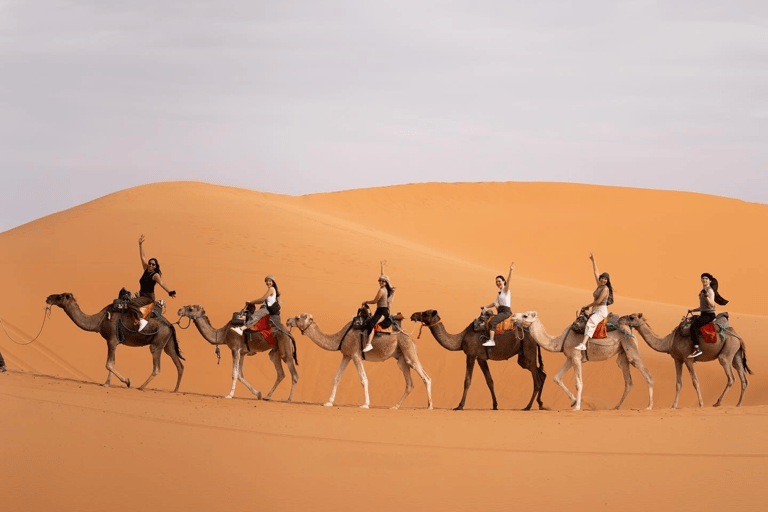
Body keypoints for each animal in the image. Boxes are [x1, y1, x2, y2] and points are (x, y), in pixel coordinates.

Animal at [48, 292, 186, 392]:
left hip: (158, 341)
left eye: (59, 296)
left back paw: (141, 387)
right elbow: (112, 363)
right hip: (168, 343)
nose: (48, 297)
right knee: (179, 364)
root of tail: (170, 325)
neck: (99, 321)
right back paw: (175, 390)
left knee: (157, 367)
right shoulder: (113, 342)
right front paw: (107, 383)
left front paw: (126, 381)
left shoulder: (112, 340)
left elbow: (109, 364)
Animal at [288, 310, 432, 410]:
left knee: (426, 377)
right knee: (410, 383)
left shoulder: (355, 354)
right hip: (401, 357)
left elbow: (363, 379)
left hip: (408, 350)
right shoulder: (346, 355)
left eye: (298, 317)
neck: (340, 337)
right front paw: (328, 402)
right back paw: (395, 406)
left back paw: (429, 406)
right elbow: (336, 377)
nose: (288, 320)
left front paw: (366, 404)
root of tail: (411, 338)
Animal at [408, 308, 544, 412]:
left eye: (426, 313)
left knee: (537, 380)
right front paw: (495, 406)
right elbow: (490, 381)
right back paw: (541, 404)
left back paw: (527, 407)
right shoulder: (481, 359)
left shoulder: (471, 355)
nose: (413, 315)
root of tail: (535, 336)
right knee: (542, 374)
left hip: (528, 351)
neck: (461, 339)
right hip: (523, 357)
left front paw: (459, 406)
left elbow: (467, 381)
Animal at [510, 310, 656, 410]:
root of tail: (629, 328)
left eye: (525, 315)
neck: (559, 340)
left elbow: (578, 383)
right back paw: (616, 407)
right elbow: (557, 377)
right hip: (623, 353)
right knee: (628, 381)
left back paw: (649, 406)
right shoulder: (570, 357)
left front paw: (577, 407)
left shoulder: (576, 357)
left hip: (630, 347)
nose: (513, 317)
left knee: (646, 374)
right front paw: (573, 401)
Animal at [624, 312, 752, 408]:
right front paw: (673, 405)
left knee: (730, 377)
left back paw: (717, 403)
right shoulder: (677, 359)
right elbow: (678, 383)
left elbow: (695, 381)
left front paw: (701, 404)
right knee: (743, 378)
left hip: (727, 352)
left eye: (632, 317)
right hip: (736, 354)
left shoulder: (687, 358)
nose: (623, 319)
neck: (669, 341)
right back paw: (738, 404)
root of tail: (739, 337)